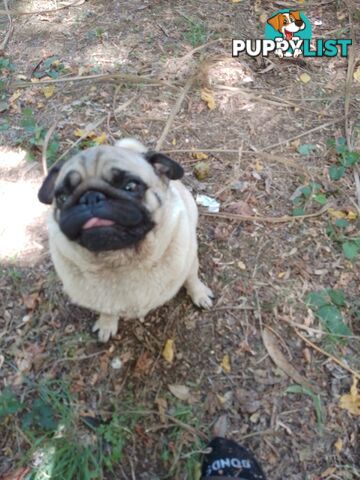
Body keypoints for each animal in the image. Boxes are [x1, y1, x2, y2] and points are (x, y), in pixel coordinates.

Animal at [38, 138, 214, 342]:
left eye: (130, 186)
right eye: (62, 197)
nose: (91, 197)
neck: (121, 261)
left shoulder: (189, 261)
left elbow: (192, 278)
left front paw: (199, 294)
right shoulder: (103, 302)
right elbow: (107, 311)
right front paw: (107, 324)